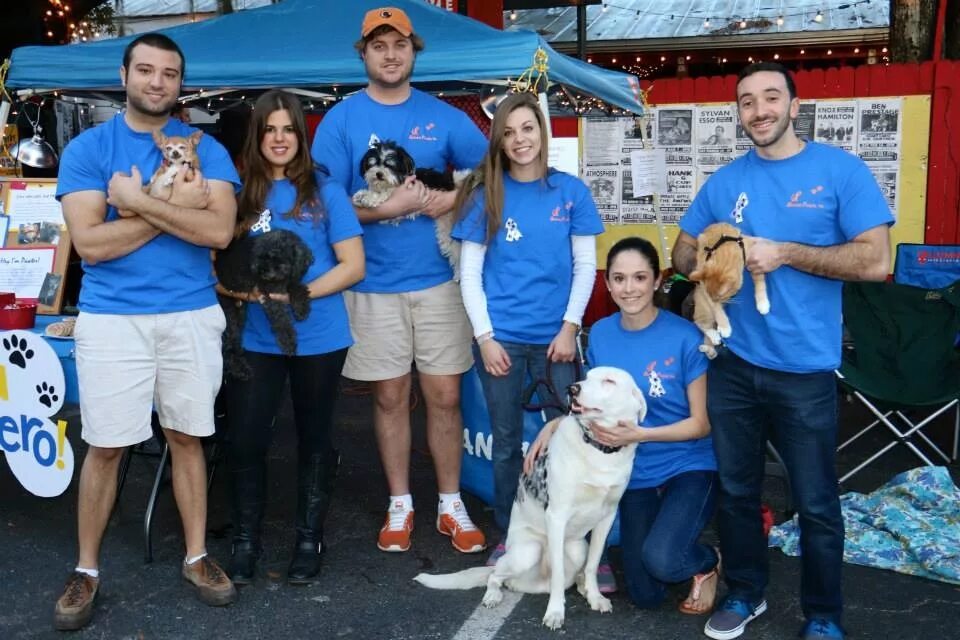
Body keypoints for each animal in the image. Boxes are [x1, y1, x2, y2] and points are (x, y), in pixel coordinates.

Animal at [215, 230, 316, 380]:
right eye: (260, 256)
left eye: (275, 256)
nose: (260, 270)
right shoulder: (270, 294)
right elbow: (281, 321)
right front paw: (288, 342)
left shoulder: (288, 280)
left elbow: (298, 288)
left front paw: (301, 309)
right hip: (228, 313)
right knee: (227, 344)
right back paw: (240, 369)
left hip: (240, 313)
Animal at [354, 139, 470, 278]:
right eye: (373, 164)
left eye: (390, 165)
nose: (379, 174)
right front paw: (361, 196)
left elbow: (387, 193)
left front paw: (370, 198)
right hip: (446, 232)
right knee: (455, 251)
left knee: (458, 177)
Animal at [414, 364, 648, 632]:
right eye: (586, 376)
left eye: (609, 381)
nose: (572, 389)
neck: (598, 449)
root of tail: (534, 583)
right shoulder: (557, 516)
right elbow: (559, 574)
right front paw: (555, 612)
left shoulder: (607, 517)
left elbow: (592, 565)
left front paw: (595, 596)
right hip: (528, 551)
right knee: (495, 576)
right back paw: (493, 595)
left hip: (578, 547)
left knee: (573, 571)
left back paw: (581, 586)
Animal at [688, 222, 772, 358]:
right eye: (714, 299)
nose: (723, 302)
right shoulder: (705, 290)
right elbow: (717, 310)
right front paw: (724, 326)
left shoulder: (754, 262)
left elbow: (760, 283)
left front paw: (763, 303)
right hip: (704, 309)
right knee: (699, 322)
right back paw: (714, 336)